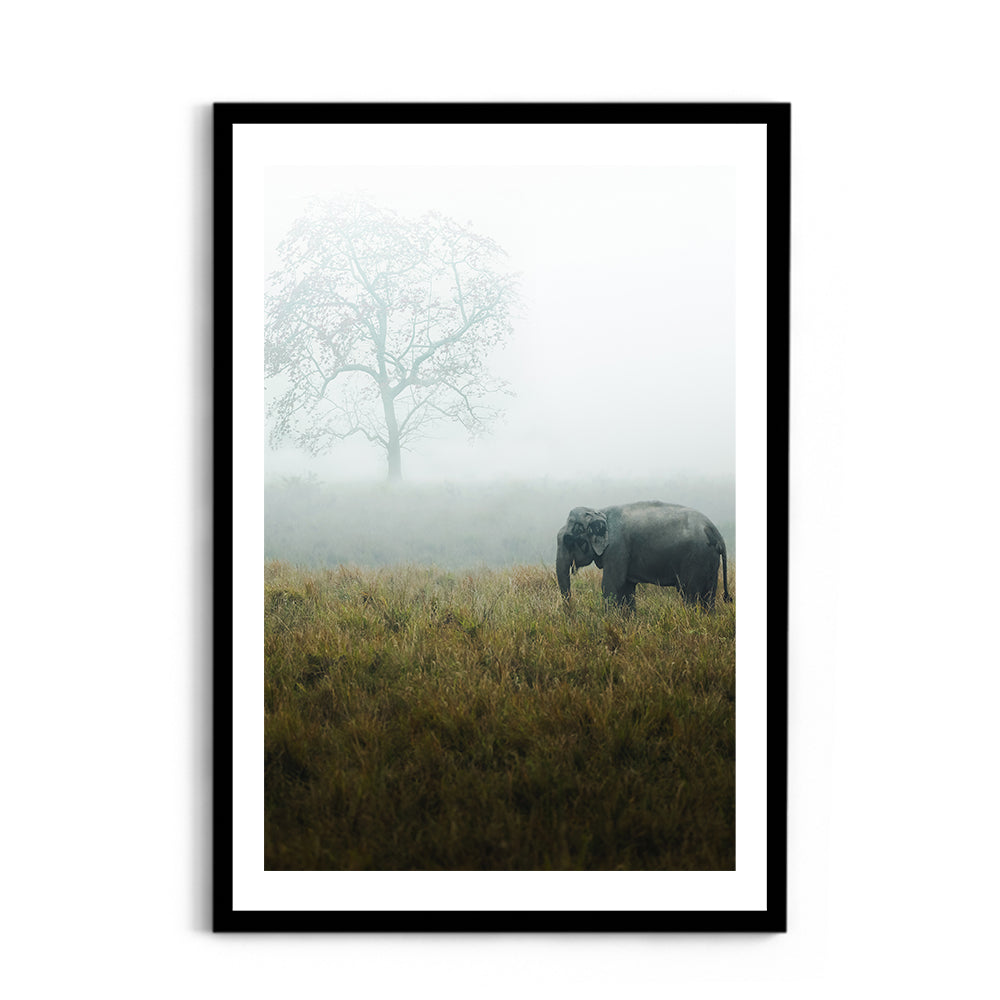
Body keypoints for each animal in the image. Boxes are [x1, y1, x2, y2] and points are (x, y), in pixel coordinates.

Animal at [556, 501, 730, 613]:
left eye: (568, 539)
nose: (571, 611)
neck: (600, 511)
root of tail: (714, 530)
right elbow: (626, 587)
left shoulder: (617, 548)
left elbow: (611, 585)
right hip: (710, 560)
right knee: (709, 595)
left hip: (695, 558)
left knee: (690, 593)